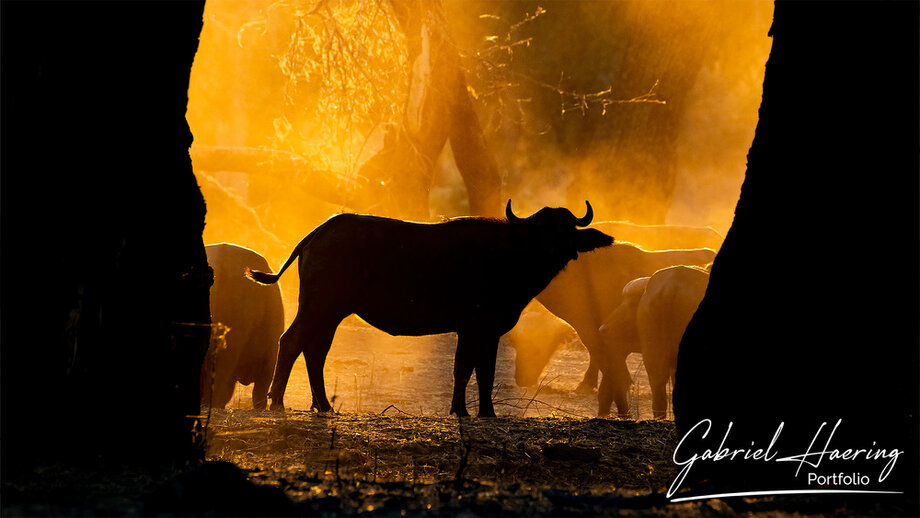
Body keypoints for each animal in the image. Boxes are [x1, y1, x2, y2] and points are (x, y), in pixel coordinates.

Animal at [247, 201, 612, 417]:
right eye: (540, 230)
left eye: (567, 229)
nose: (558, 251)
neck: (508, 257)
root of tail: (320, 230)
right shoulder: (473, 327)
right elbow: (466, 369)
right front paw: (465, 412)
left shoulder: (487, 332)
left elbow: (483, 371)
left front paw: (482, 412)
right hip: (319, 306)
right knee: (292, 342)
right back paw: (276, 402)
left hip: (330, 312)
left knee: (315, 351)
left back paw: (322, 406)